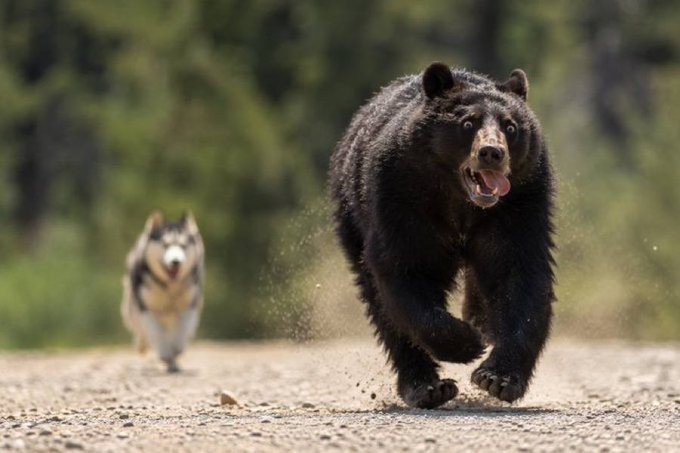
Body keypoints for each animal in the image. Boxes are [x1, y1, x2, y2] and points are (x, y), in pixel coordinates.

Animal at [329, 62, 555, 408]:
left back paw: (481, 321)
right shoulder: (400, 199)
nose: (492, 152)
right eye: (468, 122)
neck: (460, 202)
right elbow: (404, 271)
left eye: (511, 126)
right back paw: (428, 386)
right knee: (380, 307)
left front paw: (497, 377)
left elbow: (519, 275)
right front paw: (466, 343)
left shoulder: (519, 206)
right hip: (352, 219)